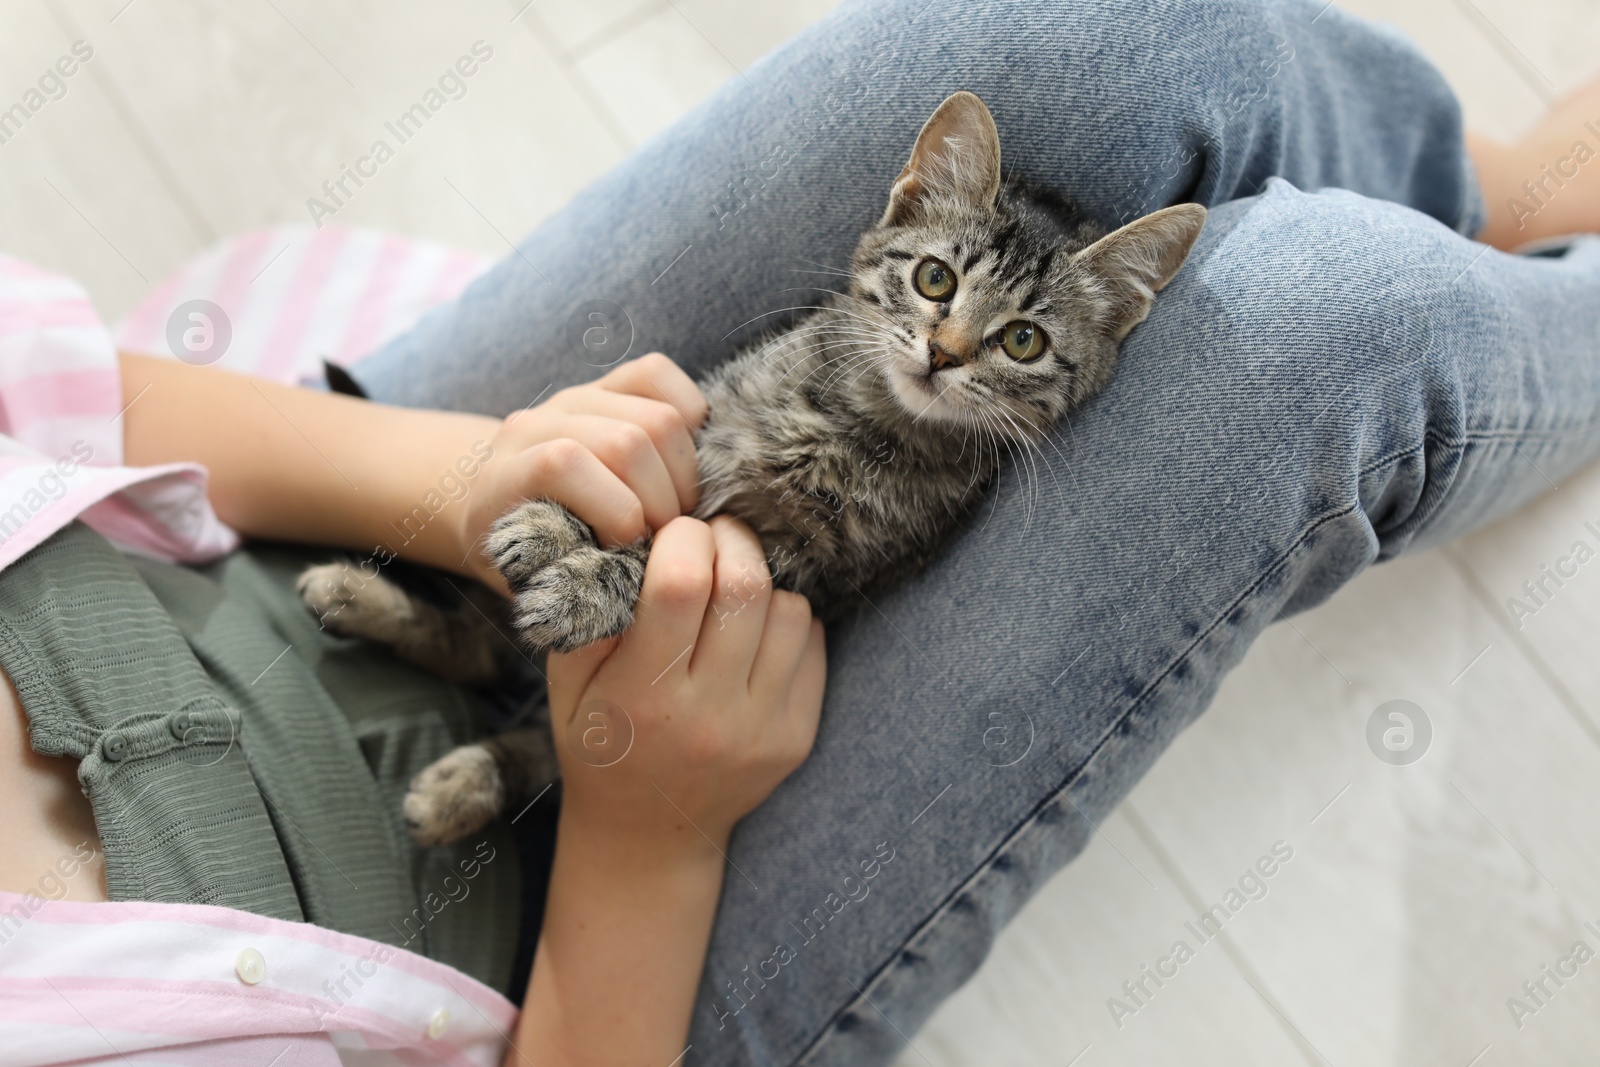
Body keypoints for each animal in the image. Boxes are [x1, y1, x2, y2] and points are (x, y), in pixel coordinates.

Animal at [297, 89, 1203, 844]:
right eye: (934, 278)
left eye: (1023, 340)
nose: (943, 354)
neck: (855, 423)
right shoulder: (703, 429)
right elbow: (643, 503)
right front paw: (557, 526)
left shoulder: (805, 565)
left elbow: (654, 551)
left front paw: (587, 586)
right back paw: (356, 596)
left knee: (514, 712)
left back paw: (456, 774)